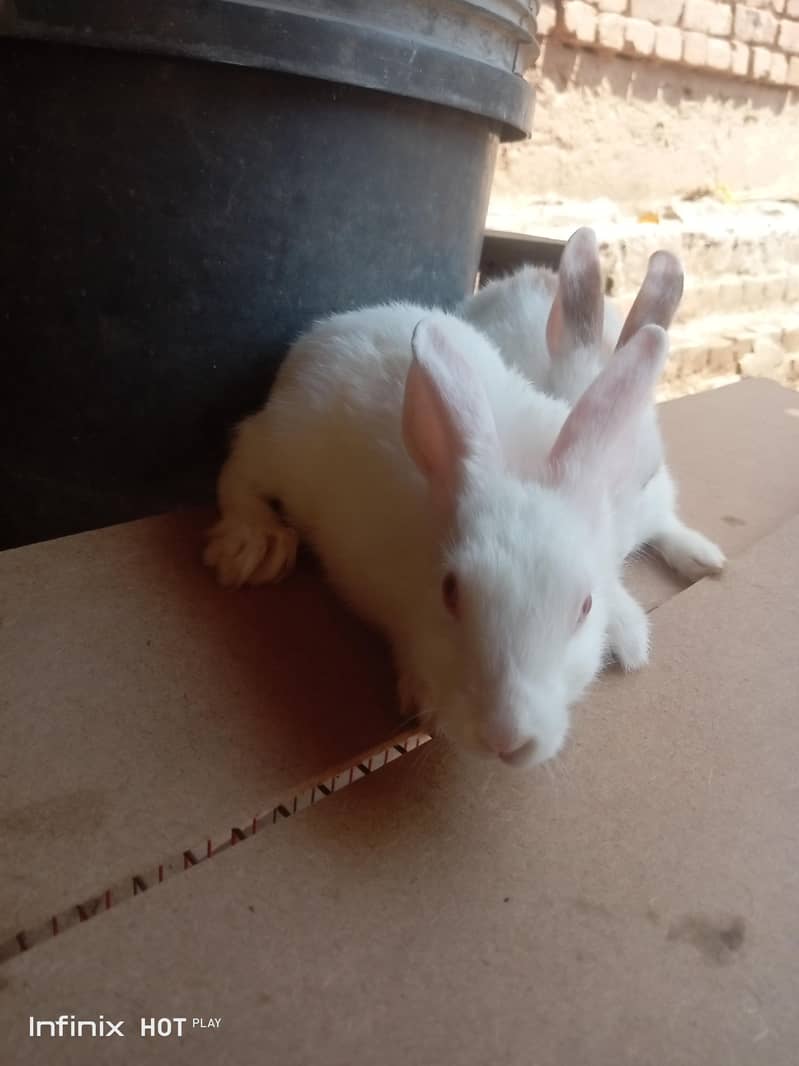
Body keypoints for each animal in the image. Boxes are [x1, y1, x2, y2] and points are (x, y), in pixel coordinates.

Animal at [204, 302, 668, 768]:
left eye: (585, 607)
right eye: (450, 591)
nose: (505, 738)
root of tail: (323, 333)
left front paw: (629, 637)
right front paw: (423, 696)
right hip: (282, 444)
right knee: (239, 460)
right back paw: (254, 547)